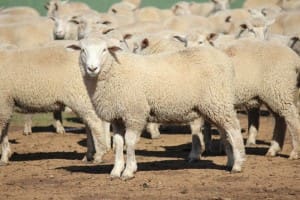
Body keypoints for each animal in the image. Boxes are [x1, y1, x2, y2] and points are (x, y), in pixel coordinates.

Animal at [67, 35, 246, 180]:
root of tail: (225, 59)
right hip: (214, 106)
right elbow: (118, 143)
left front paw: (129, 171)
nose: (92, 68)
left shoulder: (134, 112)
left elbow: (129, 141)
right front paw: (116, 171)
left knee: (234, 130)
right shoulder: (117, 116)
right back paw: (230, 162)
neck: (114, 70)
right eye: (82, 50)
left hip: (218, 101)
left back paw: (238, 165)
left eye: (104, 50)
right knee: (225, 132)